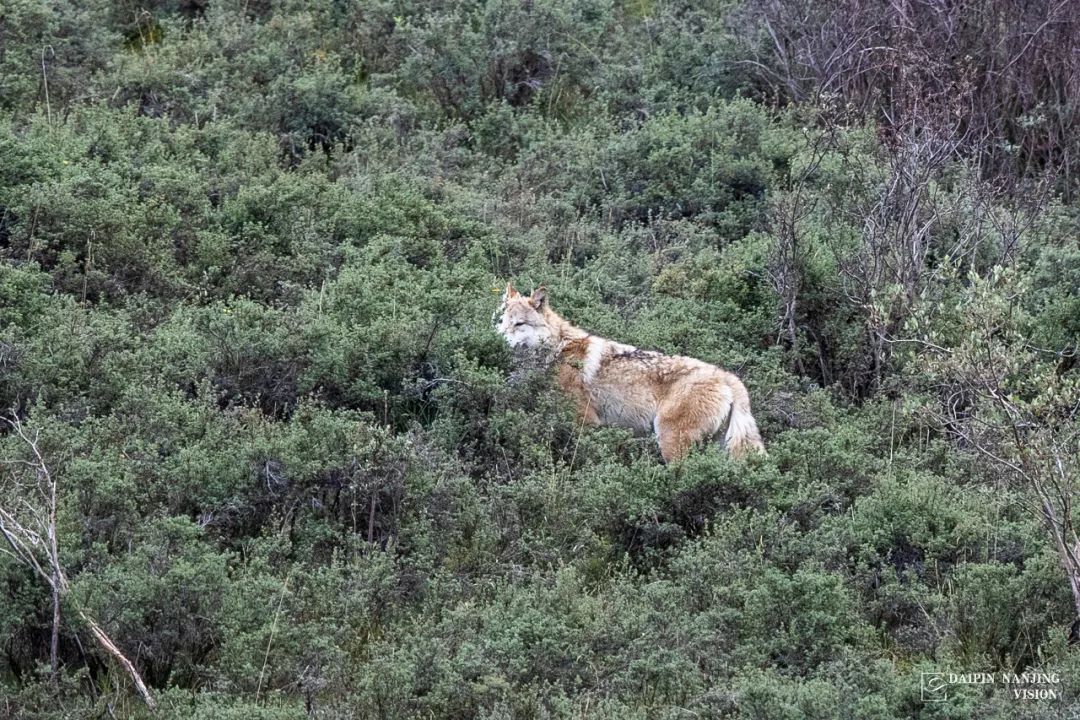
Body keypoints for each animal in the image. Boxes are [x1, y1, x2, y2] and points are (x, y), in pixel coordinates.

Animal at [494, 282, 764, 462]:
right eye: (501, 322)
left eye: (519, 324)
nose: (496, 340)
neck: (556, 352)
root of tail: (728, 377)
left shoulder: (585, 423)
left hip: (669, 442)